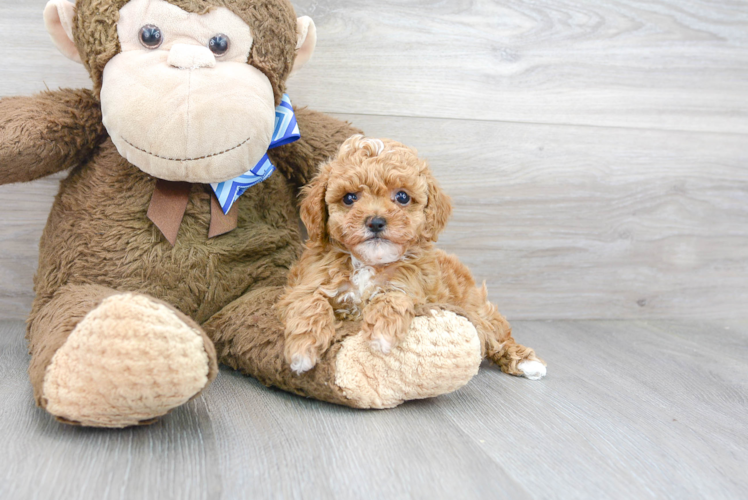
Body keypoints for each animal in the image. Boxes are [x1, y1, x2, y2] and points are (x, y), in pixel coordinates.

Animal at [278, 134, 548, 378]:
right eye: (349, 198)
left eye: (402, 197)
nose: (376, 222)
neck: (367, 262)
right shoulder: (305, 284)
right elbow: (310, 303)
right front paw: (302, 350)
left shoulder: (412, 286)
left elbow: (393, 297)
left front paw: (381, 335)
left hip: (476, 309)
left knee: (497, 333)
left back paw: (527, 362)